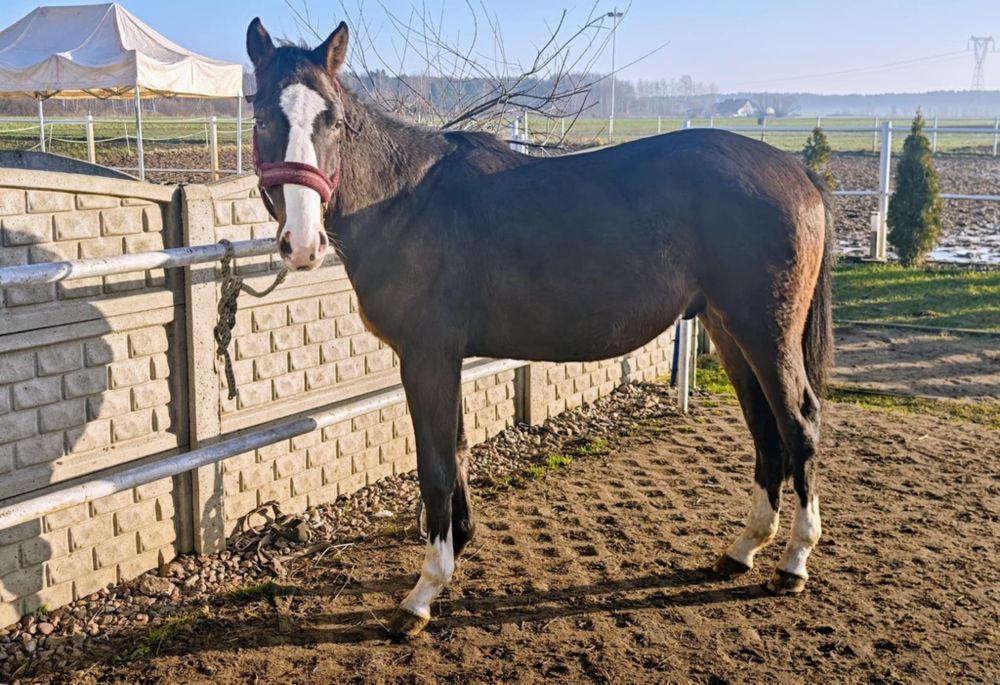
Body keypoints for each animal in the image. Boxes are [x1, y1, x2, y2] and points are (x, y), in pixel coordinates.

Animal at [246, 18, 834, 637]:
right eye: (261, 118)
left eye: (332, 120)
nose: (302, 244)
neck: (404, 200)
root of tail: (797, 172)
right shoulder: (447, 359)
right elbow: (457, 450)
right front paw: (459, 545)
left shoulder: (426, 357)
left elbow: (435, 467)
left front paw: (424, 591)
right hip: (730, 331)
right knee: (764, 429)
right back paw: (743, 548)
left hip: (766, 332)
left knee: (799, 426)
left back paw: (794, 561)